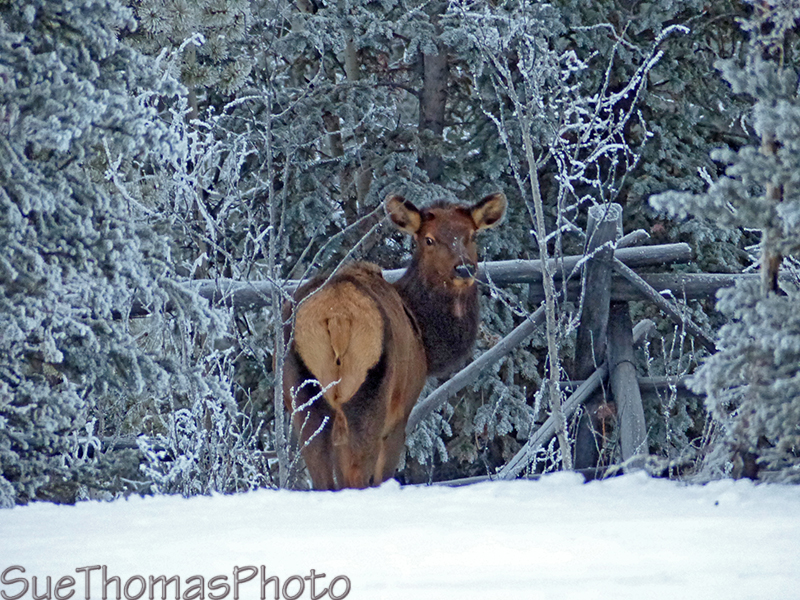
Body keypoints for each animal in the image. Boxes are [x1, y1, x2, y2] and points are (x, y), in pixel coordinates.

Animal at [282, 192, 507, 490]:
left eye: (471, 235)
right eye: (428, 239)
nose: (463, 269)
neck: (425, 334)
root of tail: (337, 317)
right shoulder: (401, 412)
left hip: (303, 396)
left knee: (321, 476)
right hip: (368, 394)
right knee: (356, 475)